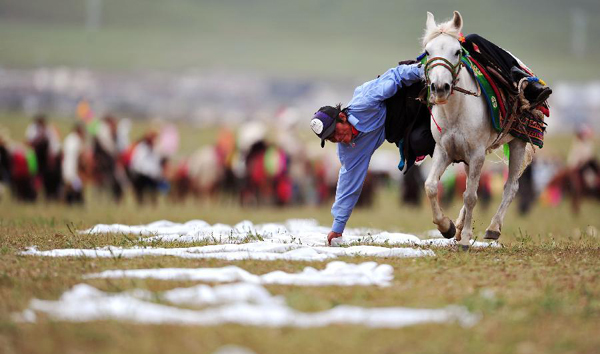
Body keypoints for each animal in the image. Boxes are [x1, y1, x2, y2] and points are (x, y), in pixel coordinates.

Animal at [422, 10, 536, 249]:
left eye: (457, 52)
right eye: (428, 51)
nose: (440, 88)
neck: (456, 112)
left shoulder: (476, 154)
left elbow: (471, 196)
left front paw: (465, 239)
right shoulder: (444, 151)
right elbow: (431, 186)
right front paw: (446, 227)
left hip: (517, 143)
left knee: (510, 187)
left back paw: (493, 228)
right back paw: (457, 227)